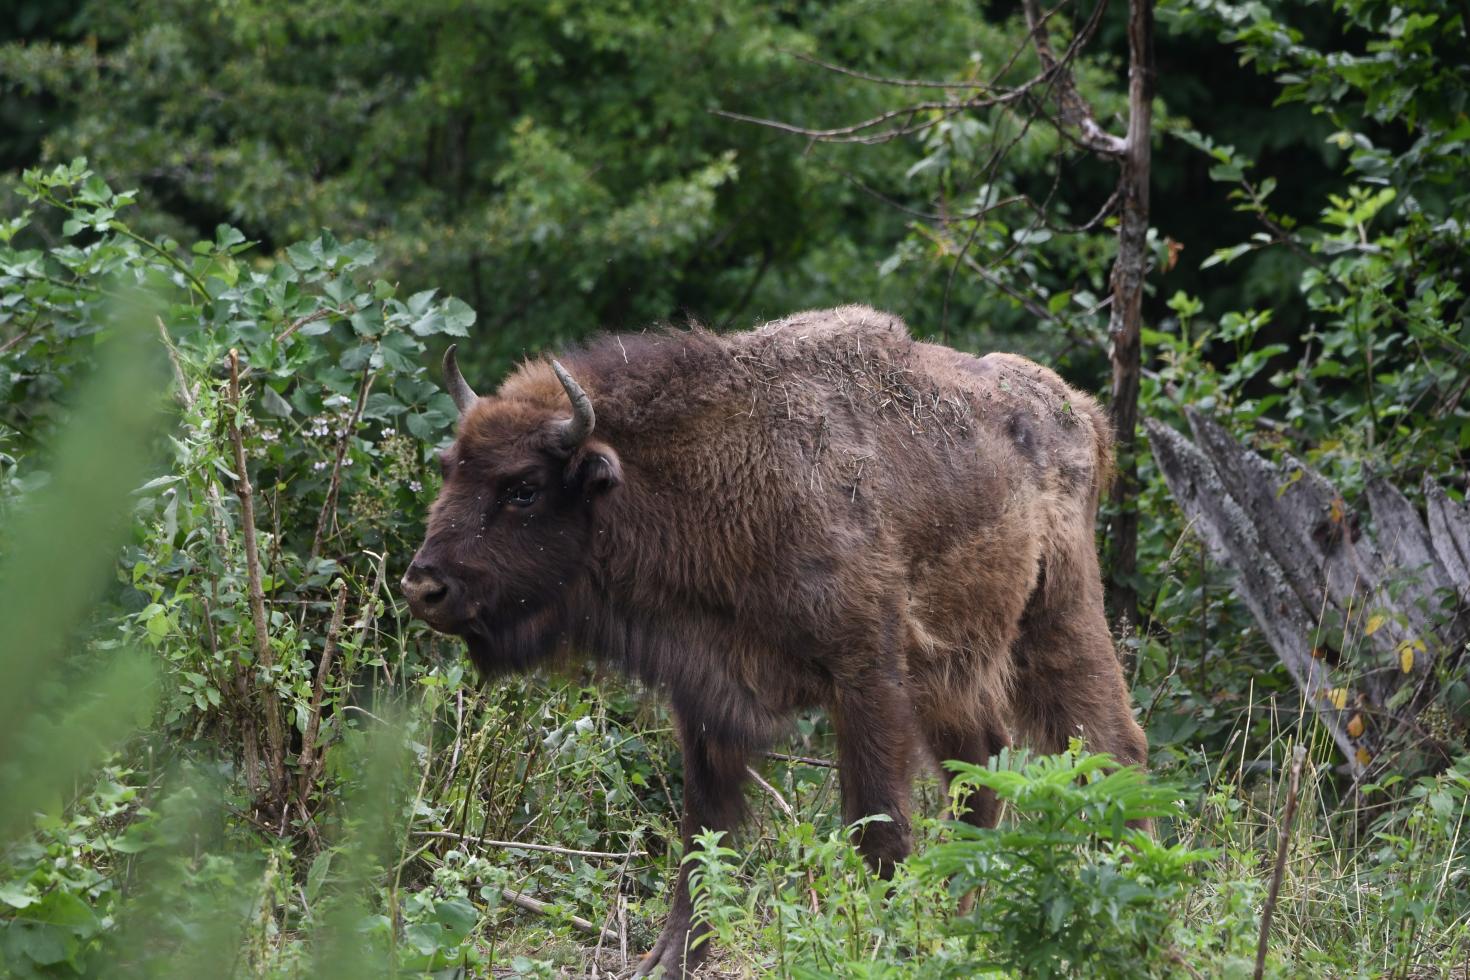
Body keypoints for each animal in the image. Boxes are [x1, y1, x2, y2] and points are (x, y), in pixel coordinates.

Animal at [401, 306, 1146, 977]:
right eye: (450, 467)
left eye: (523, 488)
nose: (423, 585)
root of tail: (1080, 411)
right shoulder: (705, 693)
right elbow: (703, 836)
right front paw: (670, 959)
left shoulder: (867, 677)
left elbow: (878, 822)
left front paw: (885, 944)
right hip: (955, 671)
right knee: (982, 771)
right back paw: (966, 914)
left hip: (1059, 618)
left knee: (1114, 748)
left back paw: (1138, 897)